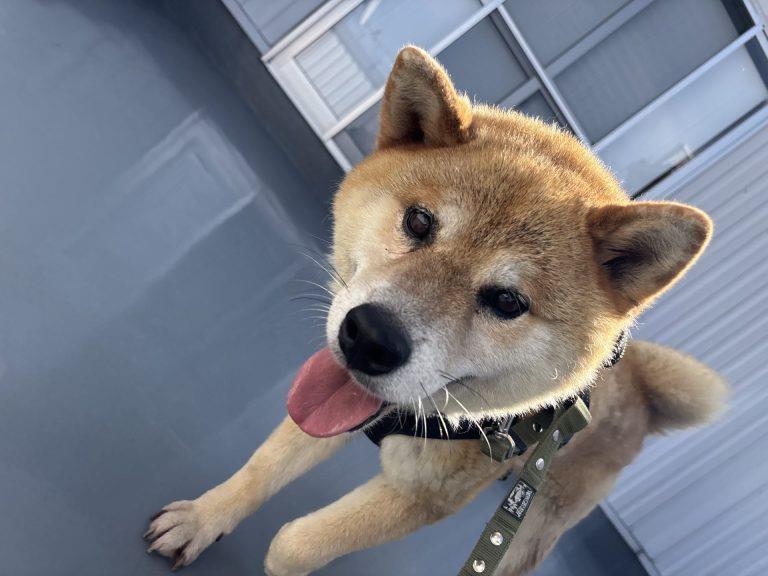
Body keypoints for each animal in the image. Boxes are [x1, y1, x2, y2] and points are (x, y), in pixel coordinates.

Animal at [144, 46, 728, 575]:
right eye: (419, 222)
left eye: (507, 301)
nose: (370, 337)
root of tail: (643, 393)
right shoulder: (328, 396)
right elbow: (263, 469)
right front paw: (202, 519)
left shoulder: (423, 497)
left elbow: (293, 546)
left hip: (536, 524)